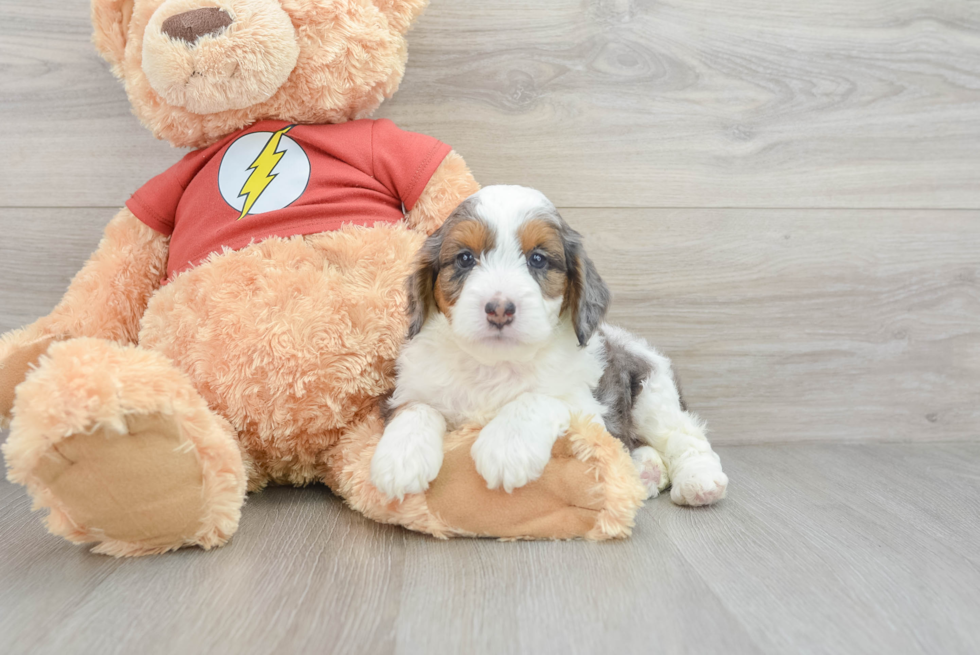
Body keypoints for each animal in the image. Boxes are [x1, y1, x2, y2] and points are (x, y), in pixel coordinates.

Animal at [372, 184, 724, 508]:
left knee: (685, 436)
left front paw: (506, 447)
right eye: (465, 258)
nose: (499, 308)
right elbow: (416, 408)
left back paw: (699, 480)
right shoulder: (411, 388)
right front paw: (400, 458)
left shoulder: (588, 410)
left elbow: (540, 398)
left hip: (652, 394)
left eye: (538, 259)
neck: (493, 365)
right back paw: (644, 471)